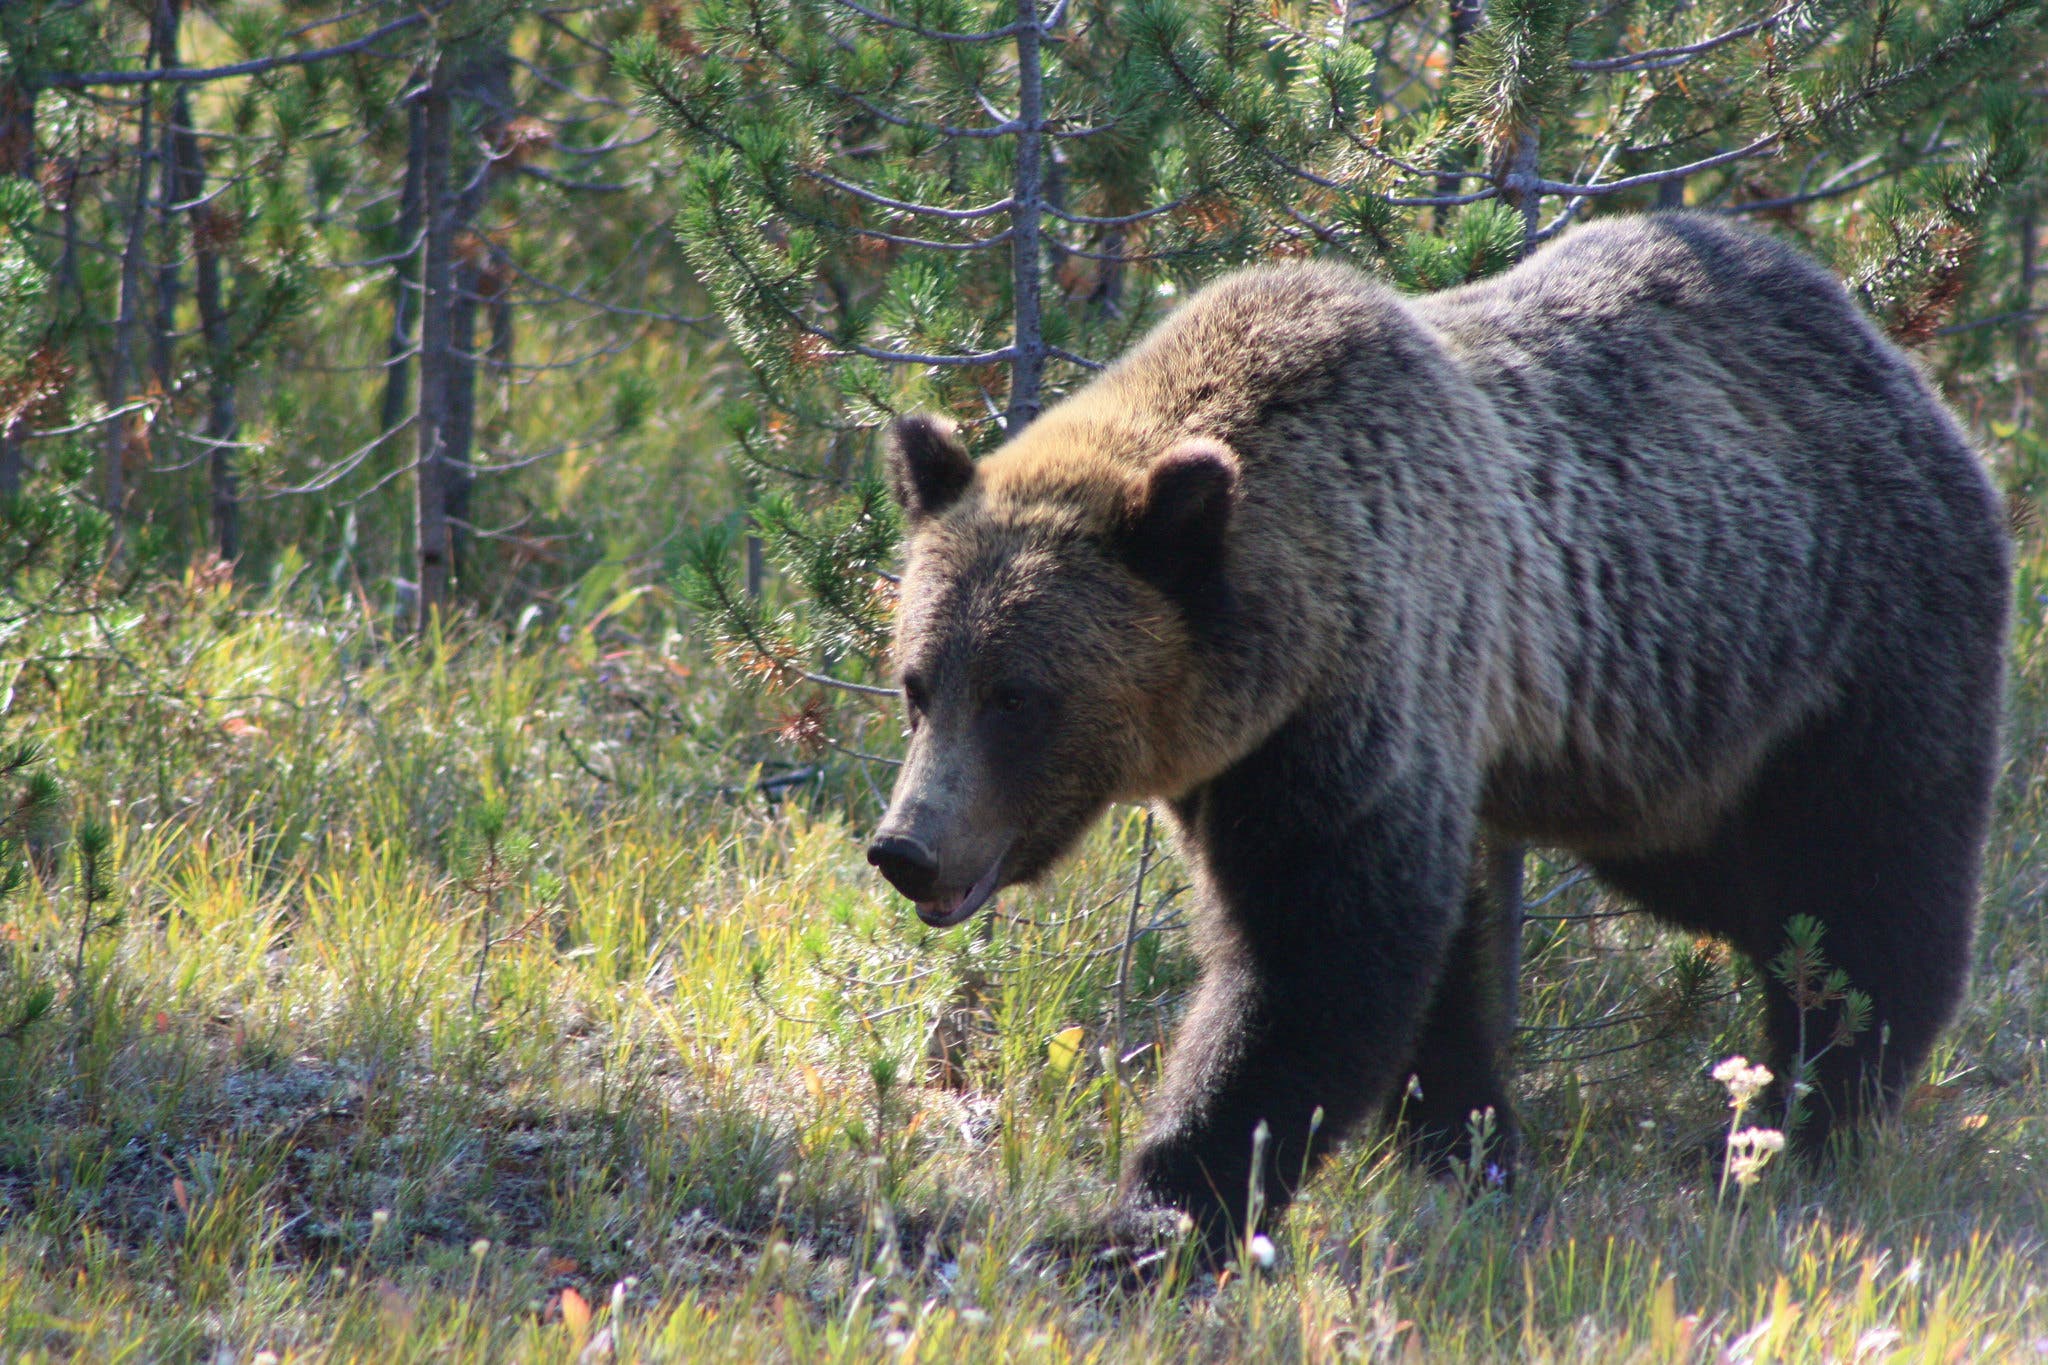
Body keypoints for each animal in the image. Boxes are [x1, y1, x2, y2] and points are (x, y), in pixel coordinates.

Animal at [864, 212, 2010, 1256]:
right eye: (917, 683)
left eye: (1019, 697)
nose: (905, 846)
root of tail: (1890, 354)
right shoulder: (1267, 756)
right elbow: (1427, 971)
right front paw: (1471, 1143)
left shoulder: (1370, 687)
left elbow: (1314, 961)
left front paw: (1160, 1212)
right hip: (1665, 752)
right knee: (1751, 892)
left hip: (1847, 644)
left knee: (1867, 881)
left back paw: (1812, 1110)